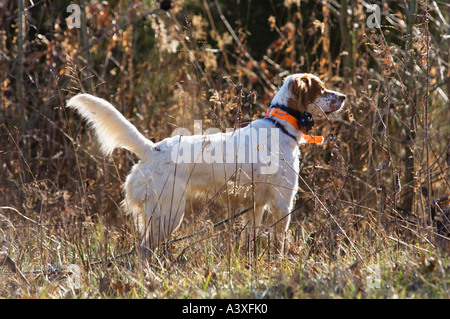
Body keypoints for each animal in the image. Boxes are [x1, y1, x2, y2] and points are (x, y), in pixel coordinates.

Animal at [67, 74, 346, 254]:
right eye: (321, 89)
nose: (343, 96)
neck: (280, 126)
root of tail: (151, 149)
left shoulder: (254, 207)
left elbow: (251, 240)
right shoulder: (282, 202)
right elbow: (278, 244)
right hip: (168, 213)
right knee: (143, 251)